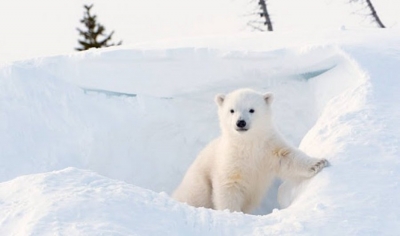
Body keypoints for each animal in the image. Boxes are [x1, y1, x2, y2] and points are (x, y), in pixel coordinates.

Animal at [172, 88, 328, 214]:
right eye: (232, 110)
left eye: (251, 109)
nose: (240, 122)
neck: (248, 144)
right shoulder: (230, 160)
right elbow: (228, 187)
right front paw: (232, 213)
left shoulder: (268, 146)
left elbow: (286, 156)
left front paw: (318, 163)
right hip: (198, 183)